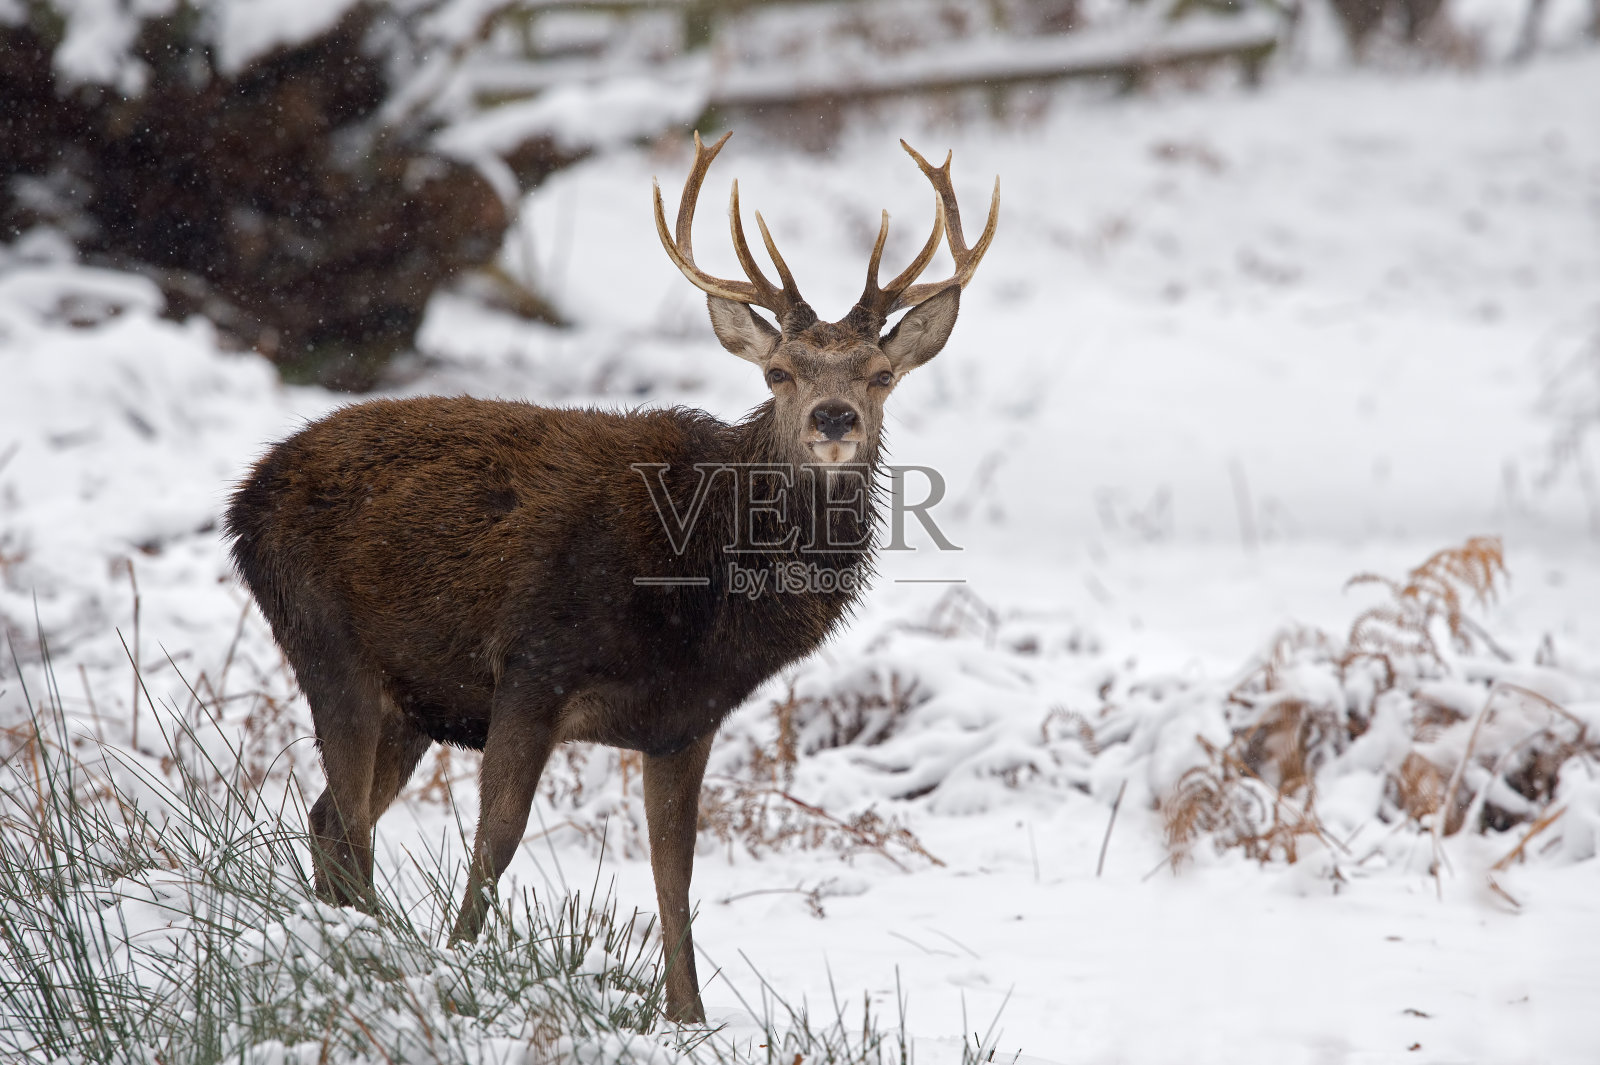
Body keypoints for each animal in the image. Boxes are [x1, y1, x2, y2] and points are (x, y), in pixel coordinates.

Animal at [223, 131, 997, 1024]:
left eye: (881, 374)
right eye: (779, 372)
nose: (832, 419)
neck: (701, 588)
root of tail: (243, 499)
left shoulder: (684, 717)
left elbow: (675, 873)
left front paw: (690, 1019)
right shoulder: (533, 664)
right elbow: (497, 840)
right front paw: (460, 965)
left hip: (411, 697)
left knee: (328, 818)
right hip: (324, 639)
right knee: (347, 821)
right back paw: (378, 955)